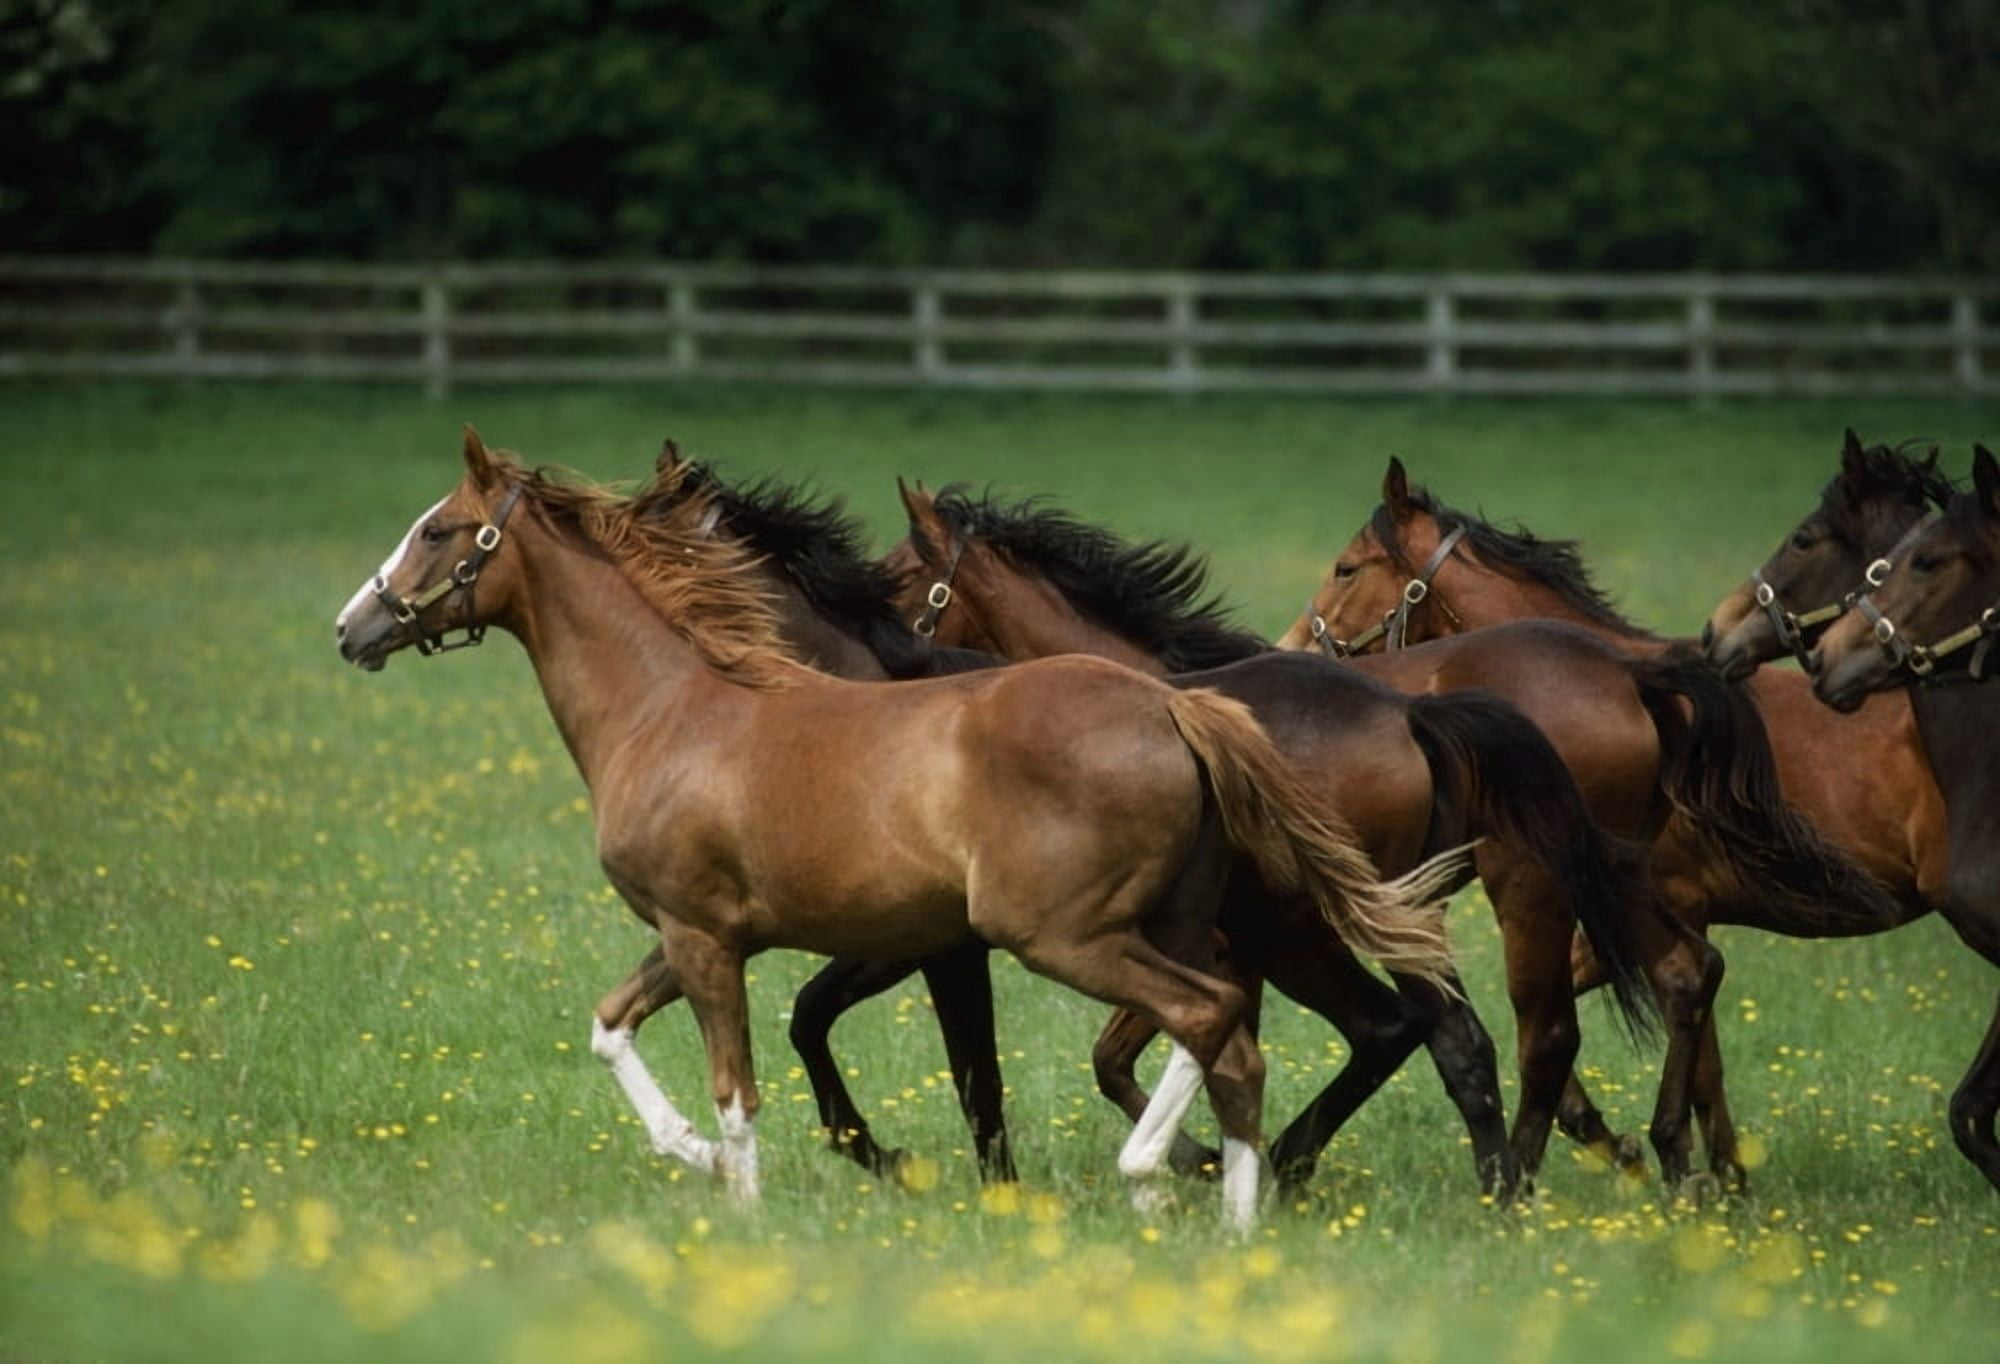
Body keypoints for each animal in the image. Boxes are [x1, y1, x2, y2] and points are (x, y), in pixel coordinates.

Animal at [334, 430, 1466, 1228]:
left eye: (438, 530)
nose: (353, 626)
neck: (675, 706)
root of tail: (1174, 709)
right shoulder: (705, 933)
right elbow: (615, 1026)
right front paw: (697, 1156)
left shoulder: (715, 940)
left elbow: (745, 1086)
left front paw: (744, 1201)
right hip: (1182, 927)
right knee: (1237, 1038)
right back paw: (1221, 1205)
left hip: (1071, 934)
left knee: (1231, 1019)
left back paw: (1167, 1172)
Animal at [882, 484, 1759, 1195]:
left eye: (895, 577)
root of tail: (1629, 673)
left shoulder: (1221, 945)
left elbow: (1131, 1056)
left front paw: (1207, 1158)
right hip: (1612, 874)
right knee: (1685, 973)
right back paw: (1676, 1161)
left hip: (1526, 890)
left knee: (1537, 1035)